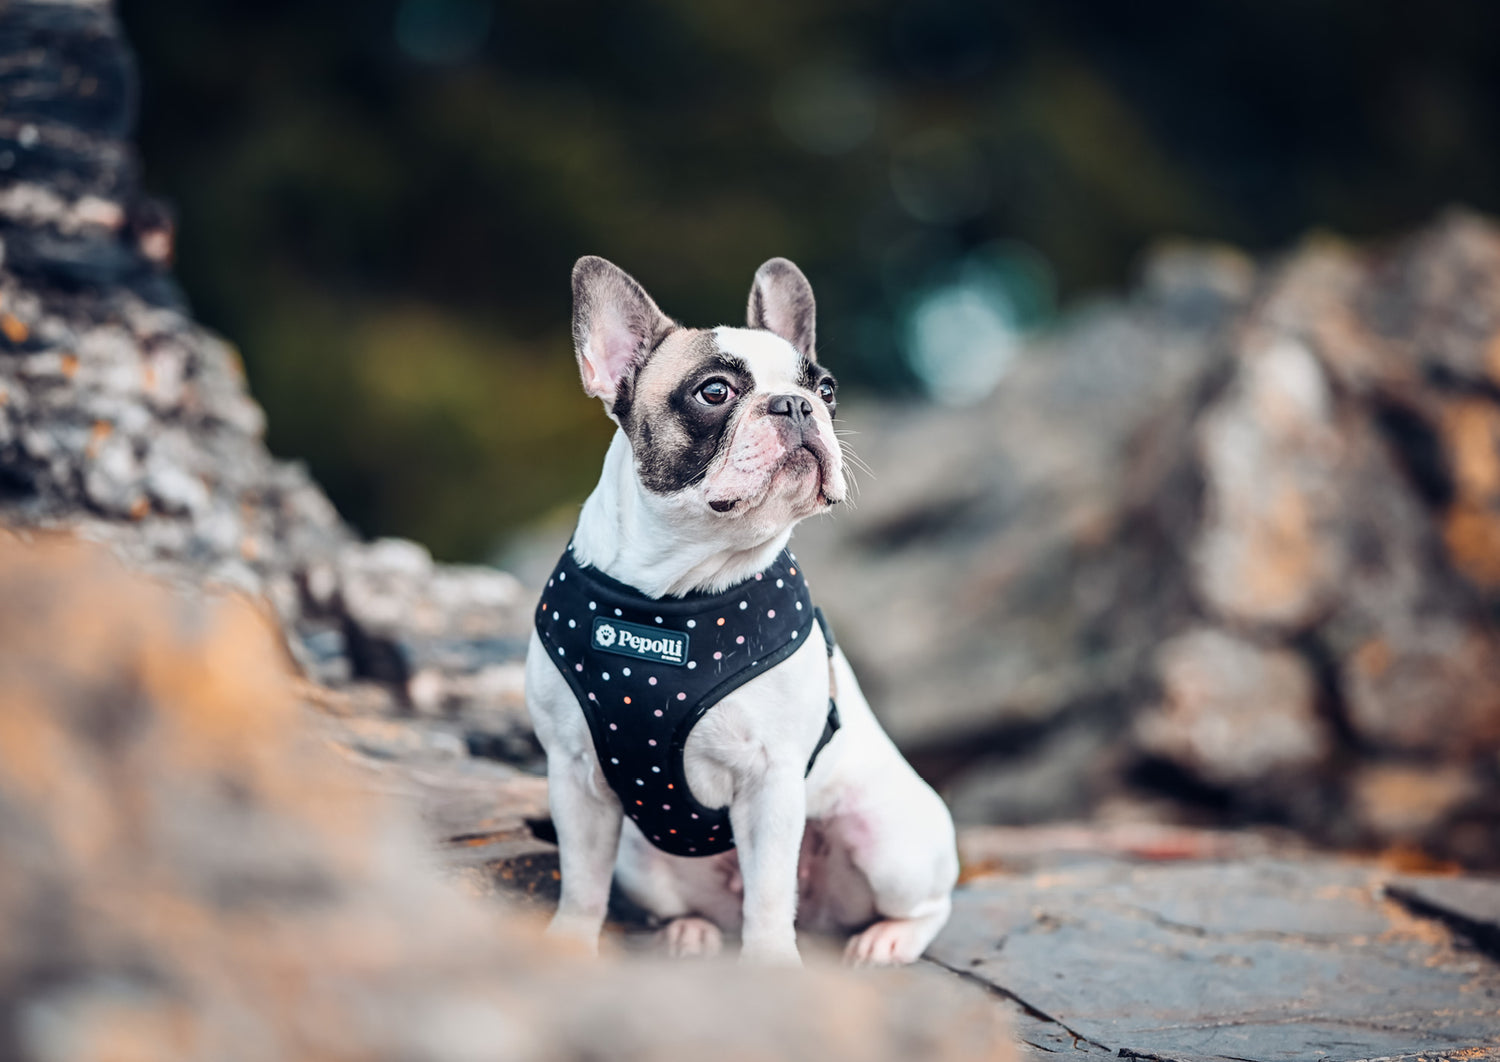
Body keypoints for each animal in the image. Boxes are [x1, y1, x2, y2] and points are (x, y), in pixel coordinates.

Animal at [522, 255, 954, 960]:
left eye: (826, 389)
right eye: (715, 392)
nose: (795, 404)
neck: (672, 594)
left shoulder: (771, 782)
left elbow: (771, 895)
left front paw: (773, 966)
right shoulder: (576, 776)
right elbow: (582, 882)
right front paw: (567, 945)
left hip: (893, 846)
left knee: (926, 903)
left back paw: (887, 940)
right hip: (643, 864)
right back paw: (690, 930)